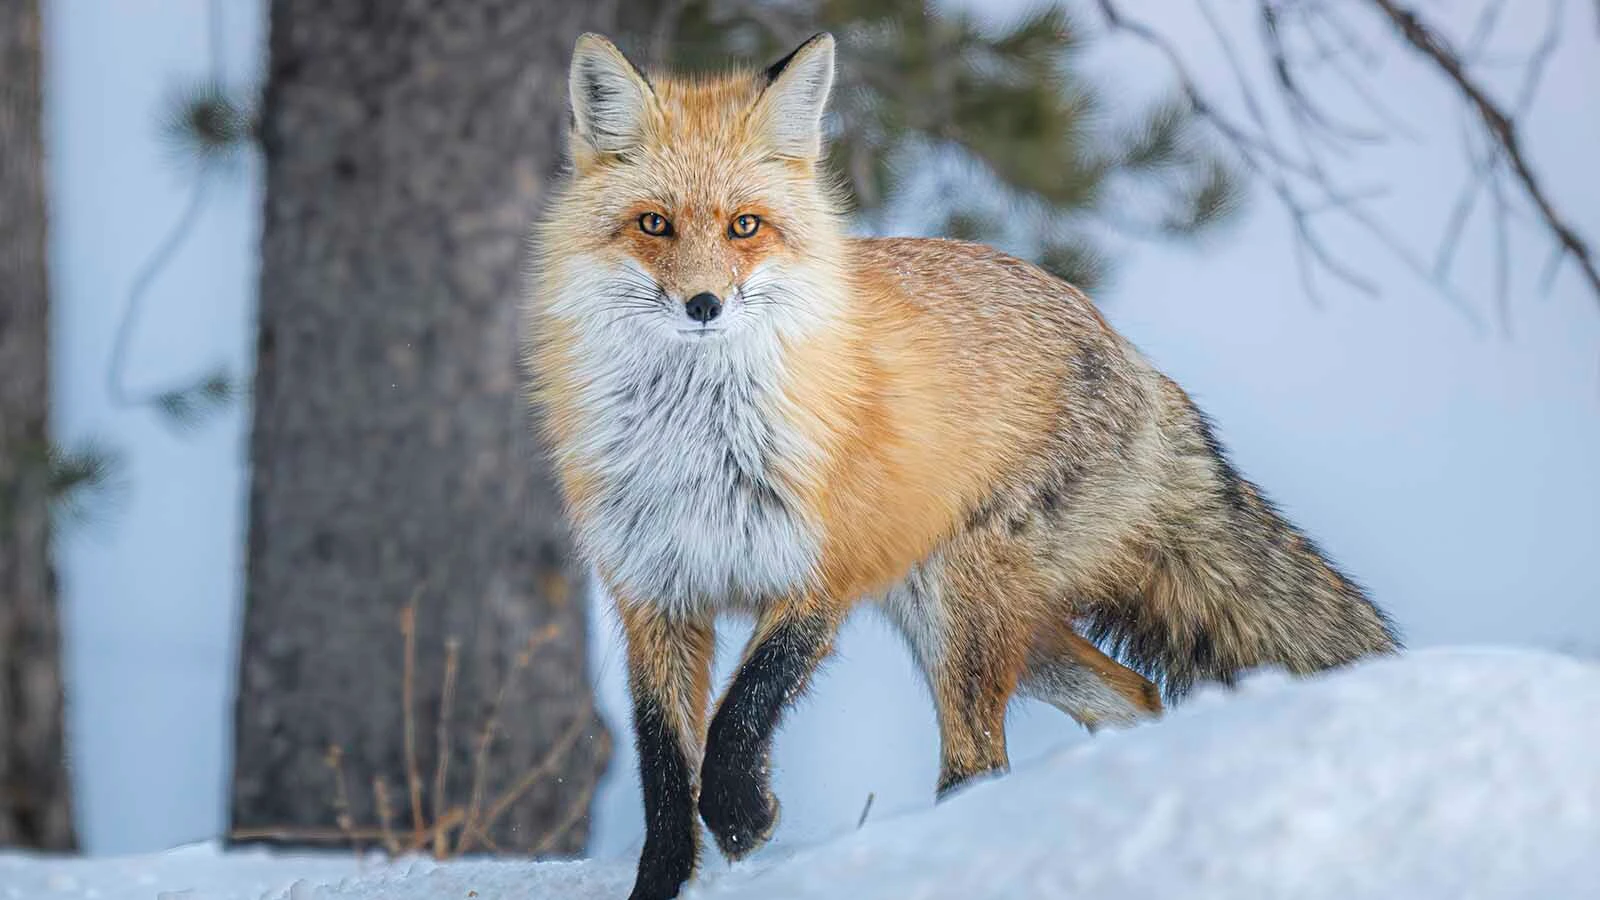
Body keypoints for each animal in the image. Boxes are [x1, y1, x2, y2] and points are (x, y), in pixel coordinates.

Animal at [525, 30, 1400, 900]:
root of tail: (1131, 354)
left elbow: (747, 705)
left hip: (962, 612)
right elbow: (664, 780)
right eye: (653, 223)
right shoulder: (655, 595)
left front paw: (742, 814)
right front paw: (664, 880)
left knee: (978, 761)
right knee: (1132, 695)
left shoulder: (824, 576)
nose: (703, 305)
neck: (698, 447)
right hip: (991, 628)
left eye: (745, 226)